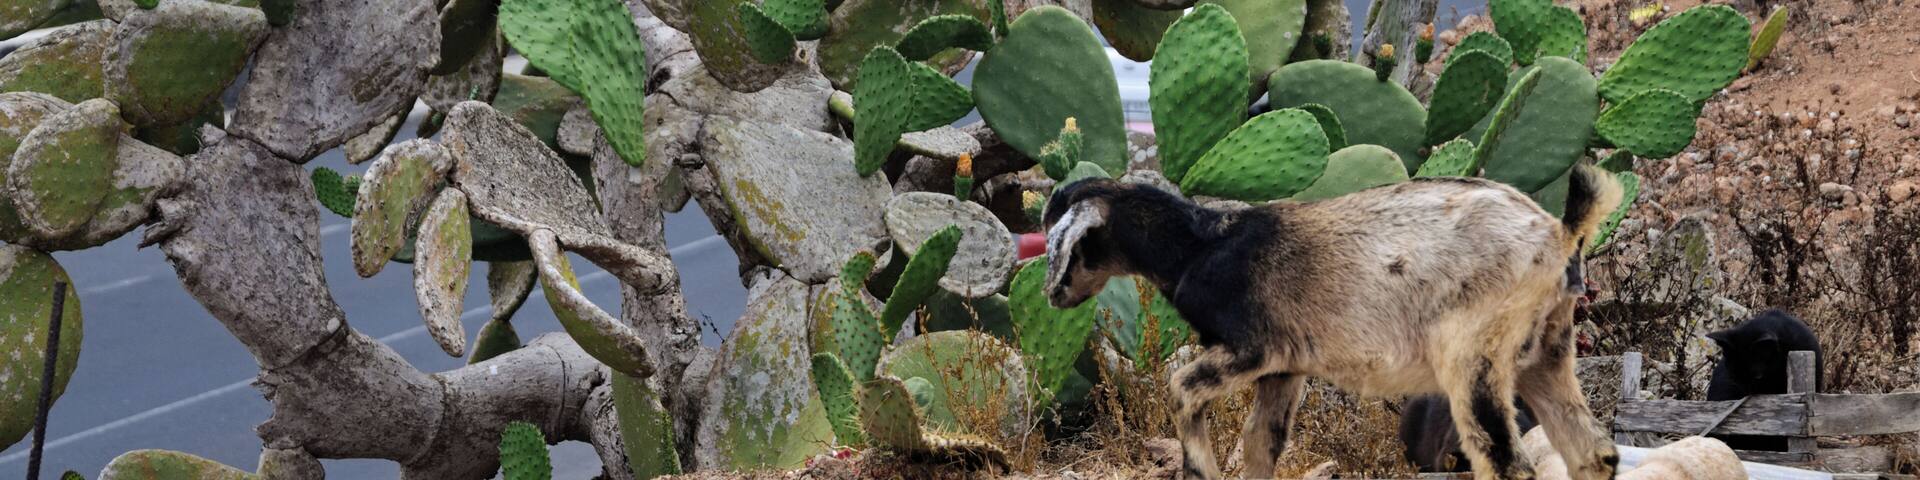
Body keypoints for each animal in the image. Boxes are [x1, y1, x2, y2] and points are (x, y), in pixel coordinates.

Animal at [1041, 166, 1623, 480]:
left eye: (1066, 245)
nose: (1051, 294)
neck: (1200, 247)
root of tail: (1559, 235)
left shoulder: (1252, 348)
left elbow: (1180, 387)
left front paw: (1199, 466)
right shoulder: (1285, 370)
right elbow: (1260, 443)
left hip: (1473, 354)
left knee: (1505, 461)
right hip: (1546, 353)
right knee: (1593, 453)